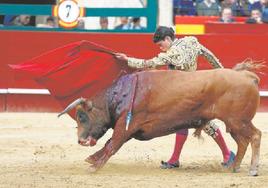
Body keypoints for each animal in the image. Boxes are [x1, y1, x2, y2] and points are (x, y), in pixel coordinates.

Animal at [58, 62, 262, 176]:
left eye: (82, 117)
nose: (81, 140)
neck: (122, 94)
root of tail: (247, 76)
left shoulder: (126, 126)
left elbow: (112, 144)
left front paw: (93, 167)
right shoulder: (130, 129)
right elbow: (110, 143)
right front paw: (92, 159)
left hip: (239, 121)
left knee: (255, 136)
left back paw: (252, 169)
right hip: (234, 123)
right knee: (242, 142)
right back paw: (234, 167)